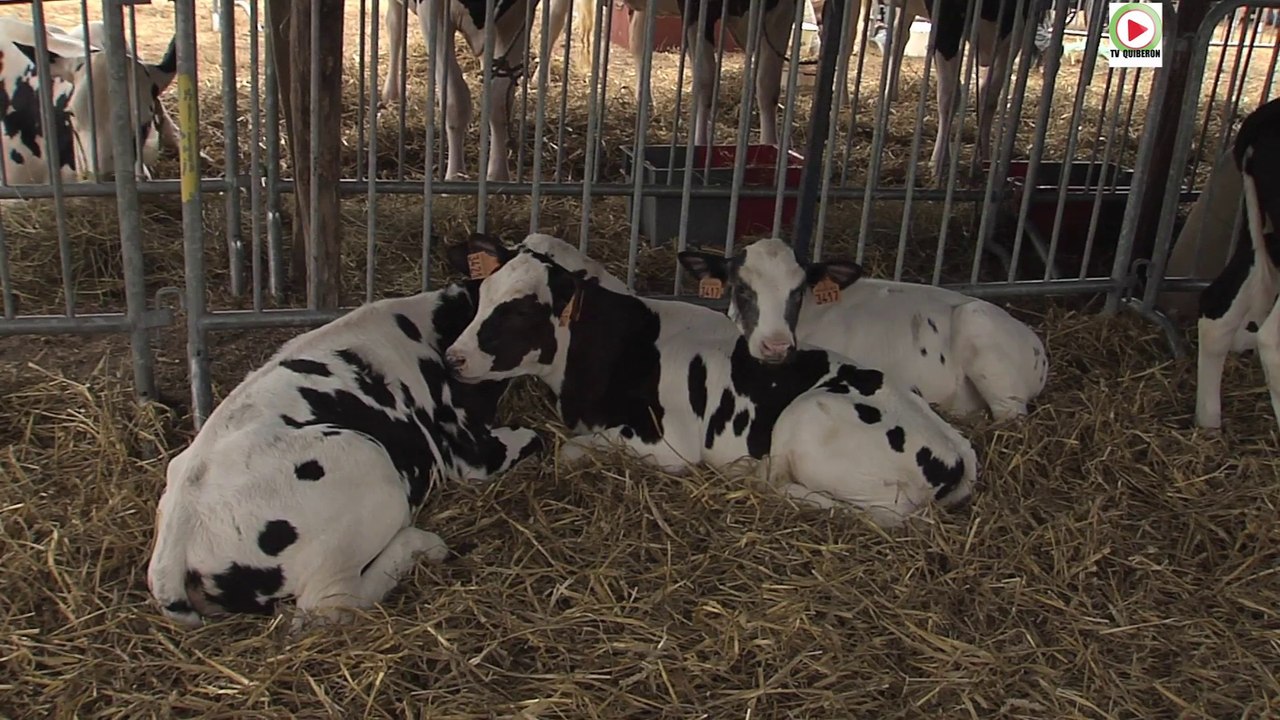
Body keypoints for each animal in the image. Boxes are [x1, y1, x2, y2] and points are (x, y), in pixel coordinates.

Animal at [146, 281, 544, 628]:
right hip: (368, 465)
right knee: (332, 603)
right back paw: (423, 546)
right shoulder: (468, 448)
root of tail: (177, 538)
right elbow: (533, 438)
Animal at [377, 0, 574, 181]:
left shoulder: (516, 15)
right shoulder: (432, 13)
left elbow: (499, 102)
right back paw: (391, 93)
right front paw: (455, 175)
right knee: (394, 24)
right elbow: (456, 100)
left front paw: (498, 175)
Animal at [443, 234, 978, 528]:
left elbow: (570, 451)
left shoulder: (669, 447)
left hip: (808, 420)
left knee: (885, 514)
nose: (453, 357)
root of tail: (957, 450)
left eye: (521, 311)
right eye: (483, 294)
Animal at [572, 0, 798, 147]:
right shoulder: (696, 10)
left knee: (639, 41)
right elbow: (705, 79)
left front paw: (770, 145)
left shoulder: (782, 12)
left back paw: (645, 102)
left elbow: (767, 85)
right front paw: (700, 144)